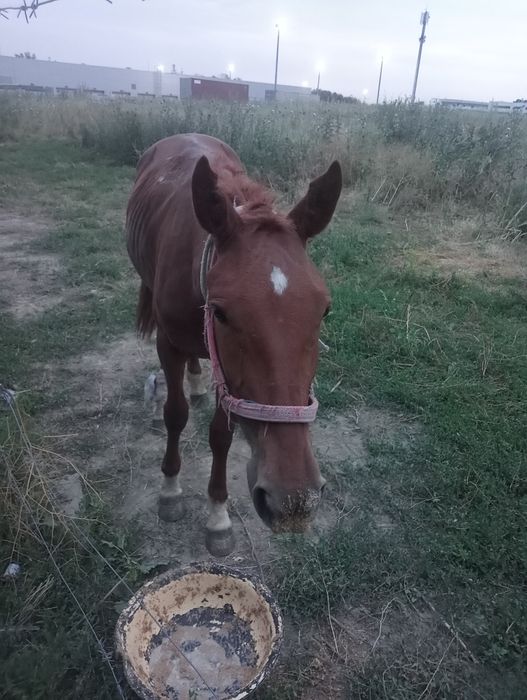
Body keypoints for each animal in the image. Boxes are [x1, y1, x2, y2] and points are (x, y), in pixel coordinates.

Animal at [126, 133, 342, 556]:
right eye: (221, 313)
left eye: (324, 310)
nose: (293, 500)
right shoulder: (168, 344)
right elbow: (174, 414)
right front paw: (170, 491)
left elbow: (221, 436)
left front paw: (218, 515)